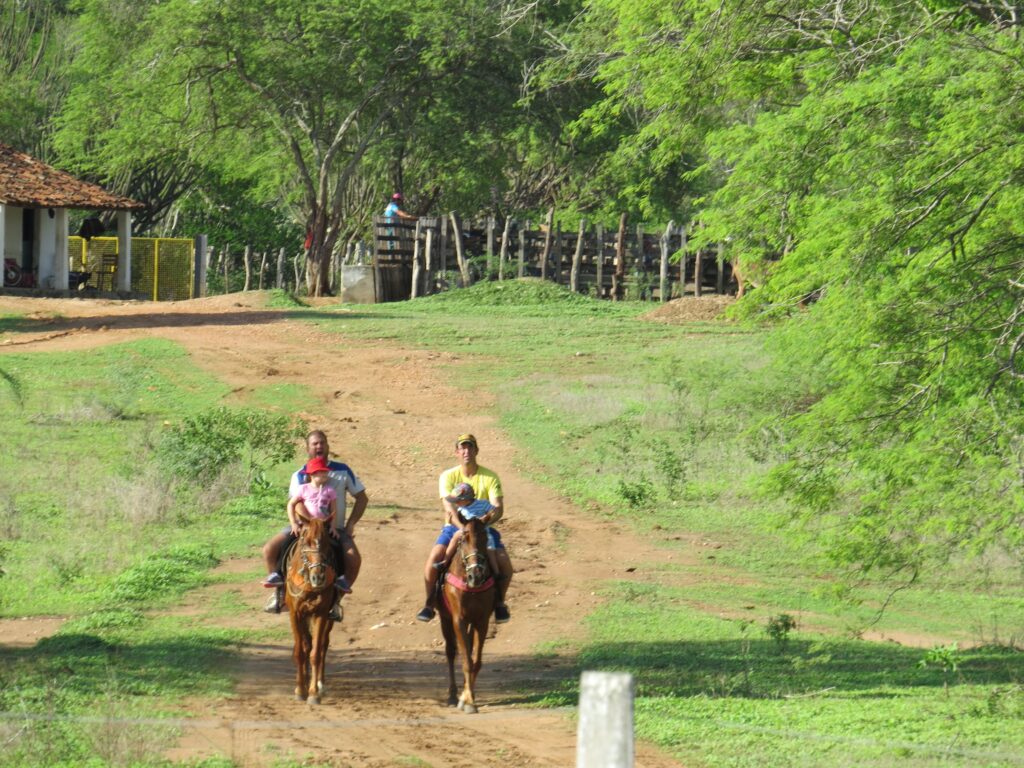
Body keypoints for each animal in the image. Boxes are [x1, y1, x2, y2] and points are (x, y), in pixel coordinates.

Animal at [284, 520, 335, 708]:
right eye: (305, 543)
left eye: (327, 543)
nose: (318, 577)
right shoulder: (295, 613)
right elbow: (301, 651)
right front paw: (300, 689)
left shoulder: (320, 614)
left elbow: (315, 653)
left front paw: (313, 693)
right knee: (305, 644)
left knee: (323, 645)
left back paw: (320, 684)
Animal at [436, 518, 495, 716]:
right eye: (463, 540)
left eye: (485, 539)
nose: (475, 575)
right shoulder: (458, 620)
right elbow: (466, 661)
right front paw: (468, 701)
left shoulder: (481, 621)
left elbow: (475, 661)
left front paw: (469, 697)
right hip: (445, 619)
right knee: (451, 652)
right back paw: (453, 695)